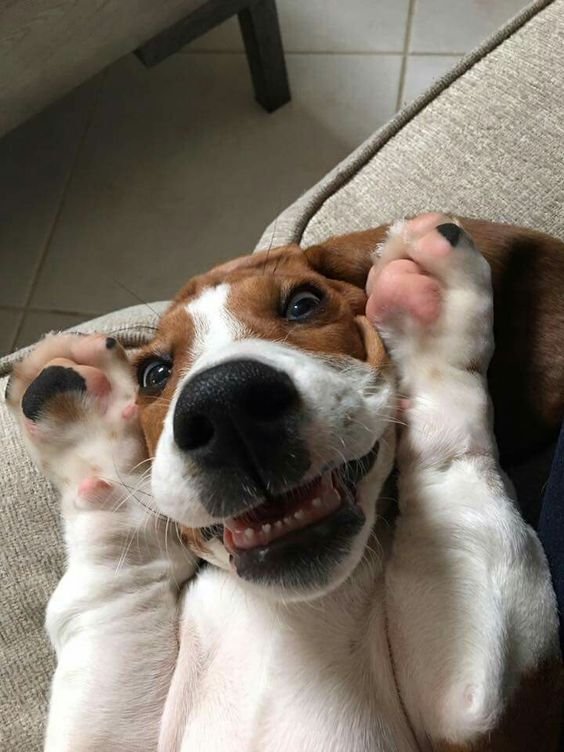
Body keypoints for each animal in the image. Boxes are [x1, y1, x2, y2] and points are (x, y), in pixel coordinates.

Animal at [7, 213, 564, 752]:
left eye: (303, 305)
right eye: (155, 374)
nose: (226, 403)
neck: (294, 611)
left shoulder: (483, 714)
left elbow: (449, 448)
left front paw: (436, 310)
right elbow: (119, 574)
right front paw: (87, 433)